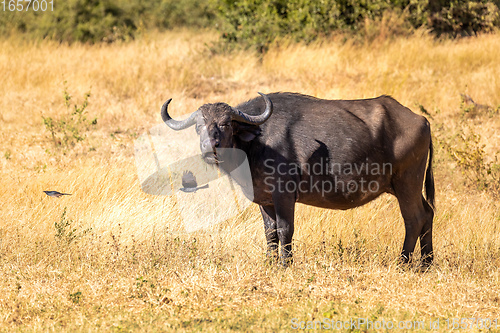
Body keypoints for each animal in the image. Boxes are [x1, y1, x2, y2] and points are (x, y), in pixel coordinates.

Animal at [161, 92, 434, 266]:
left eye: (226, 123)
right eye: (199, 126)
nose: (210, 147)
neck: (257, 144)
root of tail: (421, 120)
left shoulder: (284, 195)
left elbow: (285, 229)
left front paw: (285, 264)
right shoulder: (264, 199)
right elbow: (269, 231)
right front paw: (270, 263)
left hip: (407, 182)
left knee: (414, 218)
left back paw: (404, 262)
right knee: (428, 213)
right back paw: (427, 262)